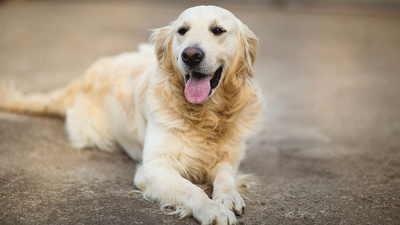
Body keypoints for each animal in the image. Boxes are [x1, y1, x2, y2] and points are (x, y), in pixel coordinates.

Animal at [0, 5, 264, 225]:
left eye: (218, 30)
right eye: (182, 31)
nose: (191, 55)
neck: (206, 116)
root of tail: (84, 75)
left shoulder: (230, 156)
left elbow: (225, 175)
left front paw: (227, 197)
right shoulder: (154, 166)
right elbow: (192, 190)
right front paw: (212, 210)